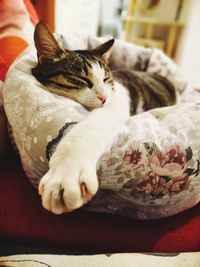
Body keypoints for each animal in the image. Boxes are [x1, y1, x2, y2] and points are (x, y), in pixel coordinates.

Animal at [31, 21, 177, 215]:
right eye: (81, 79)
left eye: (106, 79)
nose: (104, 97)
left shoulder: (113, 108)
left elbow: (86, 130)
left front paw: (65, 174)